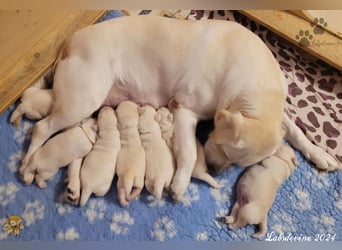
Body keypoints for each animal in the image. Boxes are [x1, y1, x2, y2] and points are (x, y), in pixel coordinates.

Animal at [20, 15, 338, 201]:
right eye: (227, 151)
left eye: (237, 163)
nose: (214, 170)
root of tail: (68, 42)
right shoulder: (184, 111)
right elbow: (187, 152)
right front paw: (180, 183)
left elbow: (296, 131)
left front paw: (320, 154)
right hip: (84, 99)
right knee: (41, 129)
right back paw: (27, 165)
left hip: (87, 109)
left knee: (74, 152)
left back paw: (73, 186)